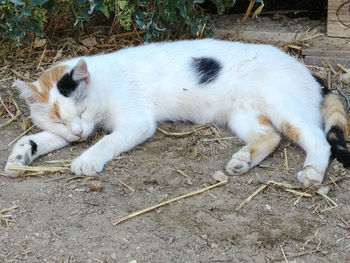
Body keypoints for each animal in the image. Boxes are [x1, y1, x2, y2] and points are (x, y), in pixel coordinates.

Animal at [3, 39, 350, 188]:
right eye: (58, 119)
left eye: (83, 108)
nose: (78, 133)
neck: (103, 82)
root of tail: (310, 72)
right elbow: (36, 138)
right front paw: (19, 158)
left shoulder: (137, 123)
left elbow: (105, 141)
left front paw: (86, 160)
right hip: (242, 115)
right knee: (270, 136)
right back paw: (241, 162)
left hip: (282, 105)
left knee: (318, 138)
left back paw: (312, 173)